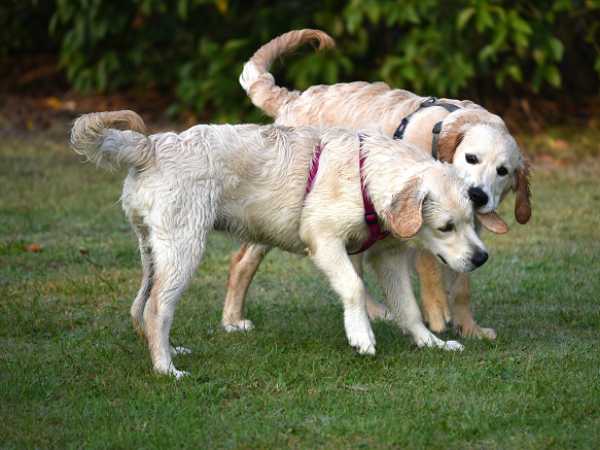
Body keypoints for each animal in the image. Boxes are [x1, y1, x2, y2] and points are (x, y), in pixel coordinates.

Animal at [72, 111, 490, 376]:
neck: (367, 174)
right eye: (446, 227)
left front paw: (431, 343)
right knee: (158, 308)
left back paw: (167, 352)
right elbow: (354, 288)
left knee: (141, 307)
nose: (482, 258)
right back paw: (166, 369)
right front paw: (361, 336)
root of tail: (151, 146)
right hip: (183, 248)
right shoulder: (324, 240)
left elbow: (408, 308)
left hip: (153, 252)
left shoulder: (388, 258)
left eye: (471, 222)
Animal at [224, 29, 528, 338]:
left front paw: (469, 328)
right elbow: (431, 267)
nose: (478, 195)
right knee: (242, 261)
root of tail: (294, 99)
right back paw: (233, 319)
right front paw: (437, 317)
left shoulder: (469, 228)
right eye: (471, 158)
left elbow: (462, 283)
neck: (440, 131)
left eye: (503, 171)